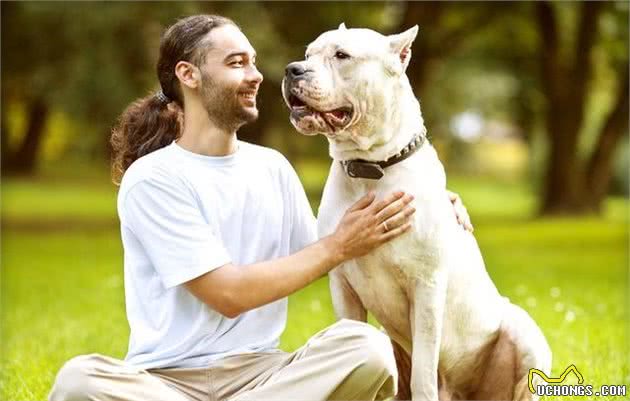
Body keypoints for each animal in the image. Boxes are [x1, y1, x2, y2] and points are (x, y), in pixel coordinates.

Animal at [282, 25, 552, 400]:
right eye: (308, 54)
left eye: (342, 55)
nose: (292, 69)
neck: (372, 168)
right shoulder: (343, 285)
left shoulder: (426, 288)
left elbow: (425, 370)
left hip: (524, 335)